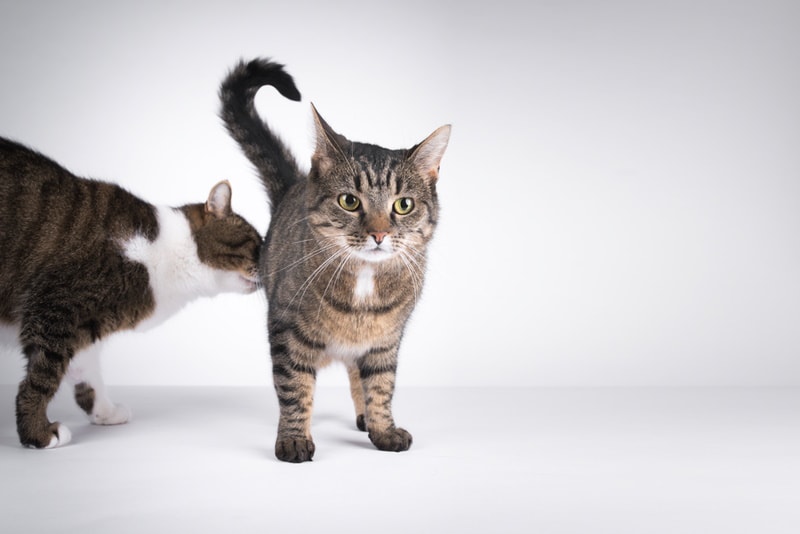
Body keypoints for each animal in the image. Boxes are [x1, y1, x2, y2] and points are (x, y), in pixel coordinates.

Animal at [0, 137, 260, 448]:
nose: (273, 265)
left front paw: (104, 412)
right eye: (257, 245)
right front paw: (37, 433)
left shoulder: (81, 326)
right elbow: (42, 376)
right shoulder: (54, 308)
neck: (166, 255)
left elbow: (87, 371)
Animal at [219, 57, 450, 460]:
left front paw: (382, 428)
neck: (364, 282)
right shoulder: (286, 330)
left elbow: (381, 386)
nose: (379, 233)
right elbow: (294, 388)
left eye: (403, 205)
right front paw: (294, 439)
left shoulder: (385, 341)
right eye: (349, 201)